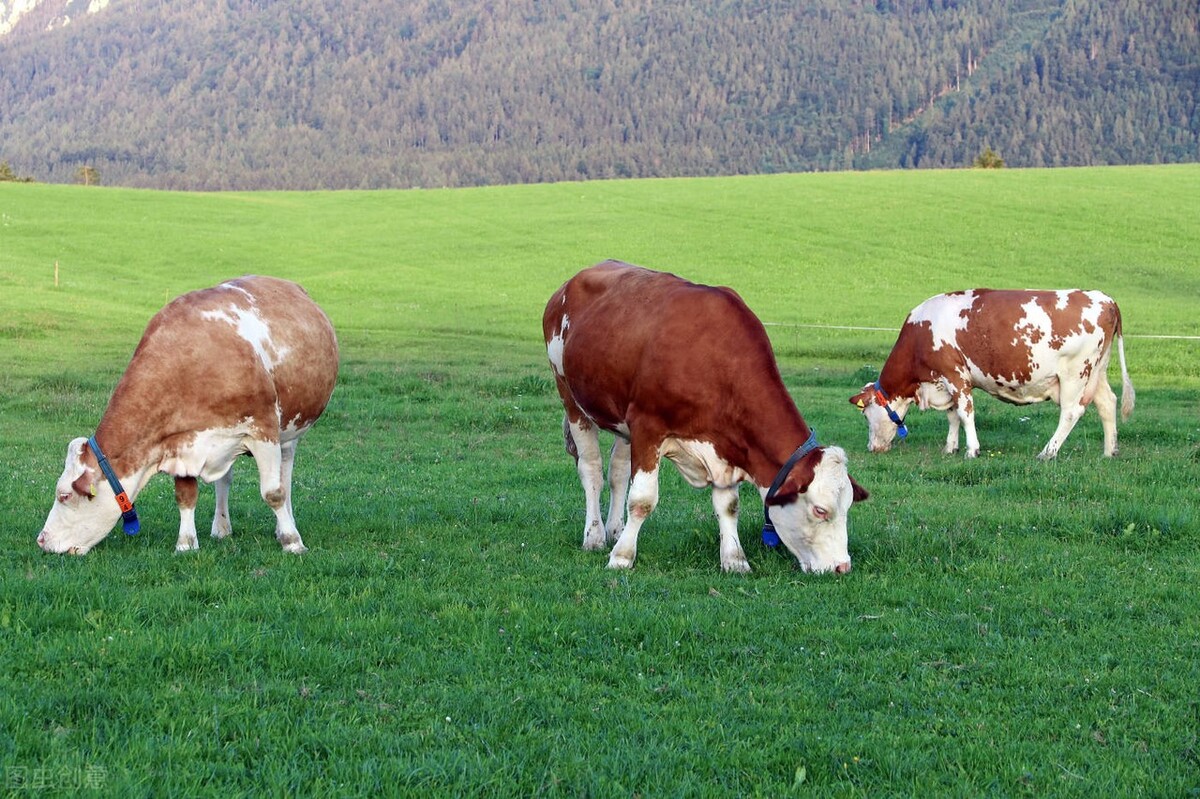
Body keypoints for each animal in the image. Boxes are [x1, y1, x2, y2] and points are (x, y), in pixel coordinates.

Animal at [37, 273, 338, 554]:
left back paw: (285, 526)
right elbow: (185, 496)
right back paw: (221, 527)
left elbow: (274, 493)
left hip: (290, 431)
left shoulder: (262, 429)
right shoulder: (180, 441)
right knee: (225, 479)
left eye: (64, 495)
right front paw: (185, 543)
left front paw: (292, 542)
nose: (42, 539)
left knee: (285, 477)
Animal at [547, 261, 873, 573]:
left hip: (621, 419)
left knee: (616, 471)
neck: (713, 360)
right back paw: (595, 536)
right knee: (591, 469)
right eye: (820, 510)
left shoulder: (727, 444)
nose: (842, 567)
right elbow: (642, 500)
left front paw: (735, 560)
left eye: (848, 507)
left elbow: (728, 505)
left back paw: (614, 530)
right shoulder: (647, 427)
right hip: (570, 397)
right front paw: (622, 557)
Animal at [854, 287, 1132, 460]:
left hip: (1075, 373)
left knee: (1071, 412)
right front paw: (950, 448)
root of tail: (1105, 299)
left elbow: (965, 414)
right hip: (1098, 371)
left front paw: (972, 450)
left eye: (866, 416)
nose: (871, 448)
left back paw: (1048, 452)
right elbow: (953, 416)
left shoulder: (955, 374)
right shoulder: (945, 382)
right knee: (1108, 403)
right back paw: (1109, 451)